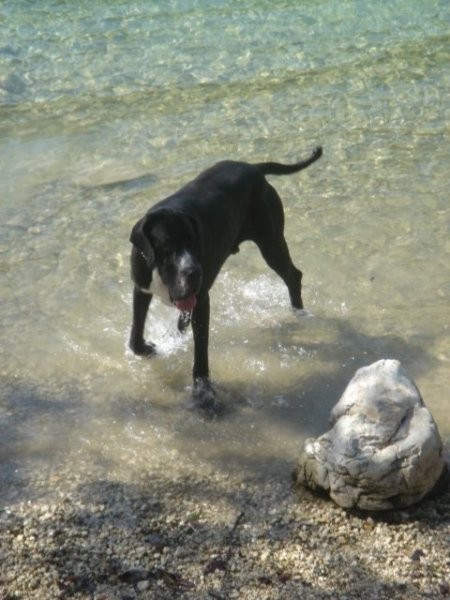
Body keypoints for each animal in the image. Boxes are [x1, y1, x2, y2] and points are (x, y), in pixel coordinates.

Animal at [128, 144, 322, 398]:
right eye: (167, 245)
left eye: (193, 242)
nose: (194, 271)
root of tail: (252, 168)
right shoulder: (141, 287)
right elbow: (135, 333)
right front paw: (147, 349)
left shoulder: (201, 301)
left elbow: (201, 351)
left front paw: (202, 389)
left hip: (271, 242)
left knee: (293, 275)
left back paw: (297, 312)